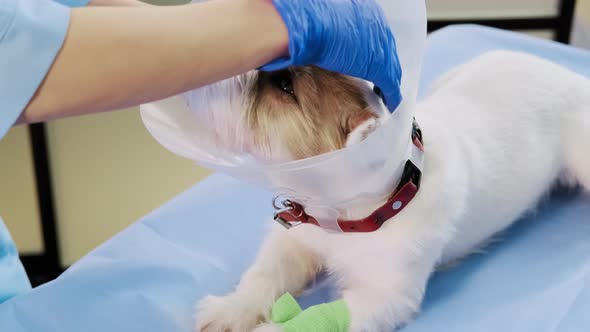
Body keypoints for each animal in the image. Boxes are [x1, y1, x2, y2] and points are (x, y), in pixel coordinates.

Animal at [194, 50, 590, 330]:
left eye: (285, 86)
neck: (348, 214)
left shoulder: (384, 298)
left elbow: (318, 318)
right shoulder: (295, 242)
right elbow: (264, 275)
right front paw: (231, 309)